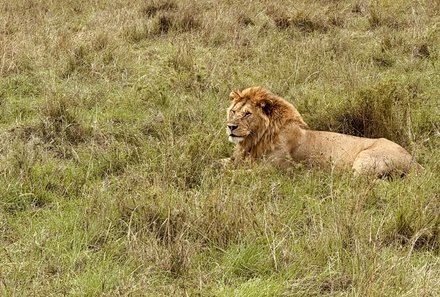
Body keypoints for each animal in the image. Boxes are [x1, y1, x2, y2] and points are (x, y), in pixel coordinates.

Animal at [225, 85, 422, 176]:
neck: (255, 139)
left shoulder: (276, 169)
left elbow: (239, 174)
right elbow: (223, 163)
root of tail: (414, 161)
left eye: (247, 114)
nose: (230, 127)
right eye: (233, 111)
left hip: (364, 159)